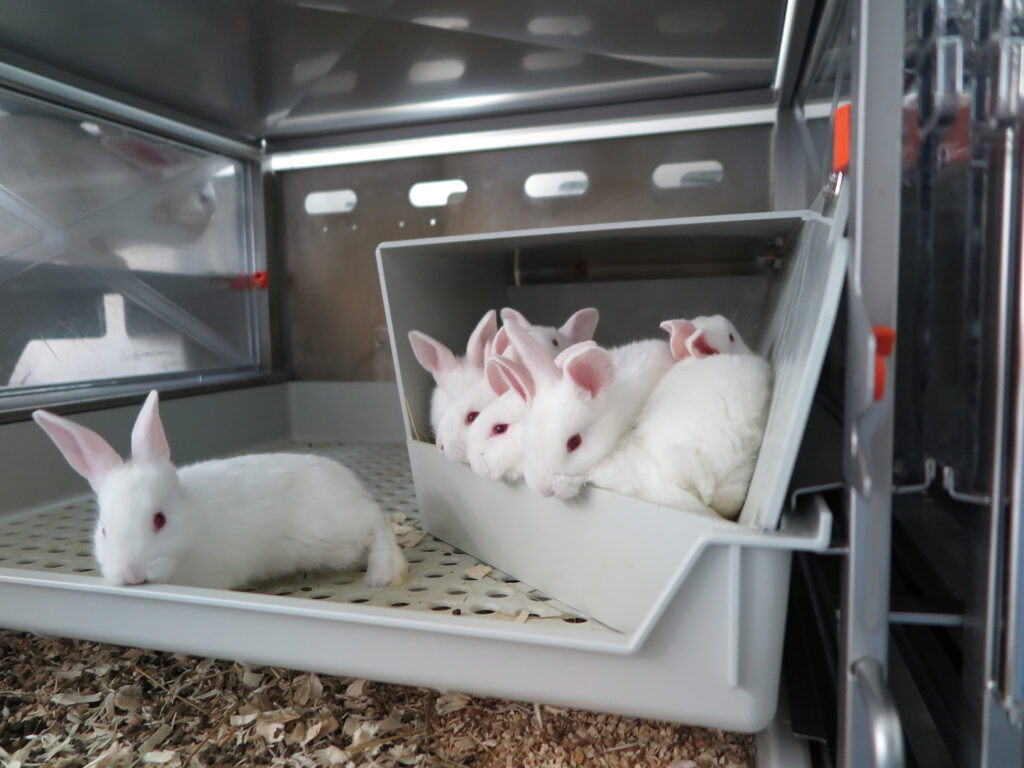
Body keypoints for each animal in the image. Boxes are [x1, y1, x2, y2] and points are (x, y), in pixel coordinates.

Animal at [32, 391, 408, 590]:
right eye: (104, 531)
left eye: (159, 520)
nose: (132, 575)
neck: (194, 524)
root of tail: (351, 484)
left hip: (335, 537)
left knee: (378, 523)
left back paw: (383, 574)